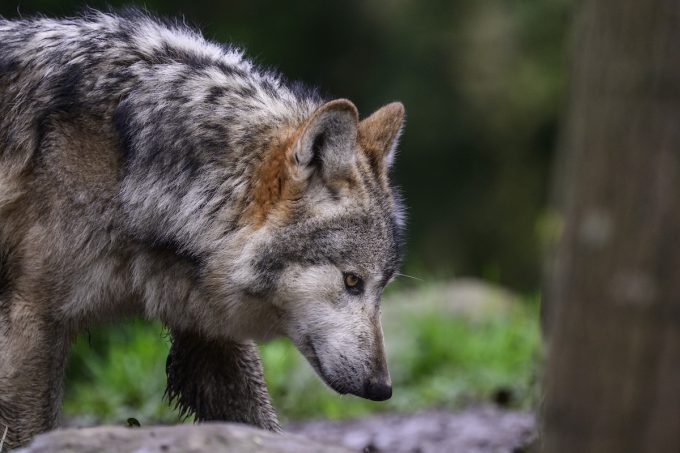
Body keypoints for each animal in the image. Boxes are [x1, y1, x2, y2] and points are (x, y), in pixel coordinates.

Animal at [0, 10, 405, 448]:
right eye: (351, 281)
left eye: (381, 287)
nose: (382, 388)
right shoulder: (31, 321)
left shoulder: (208, 329)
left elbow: (257, 424)